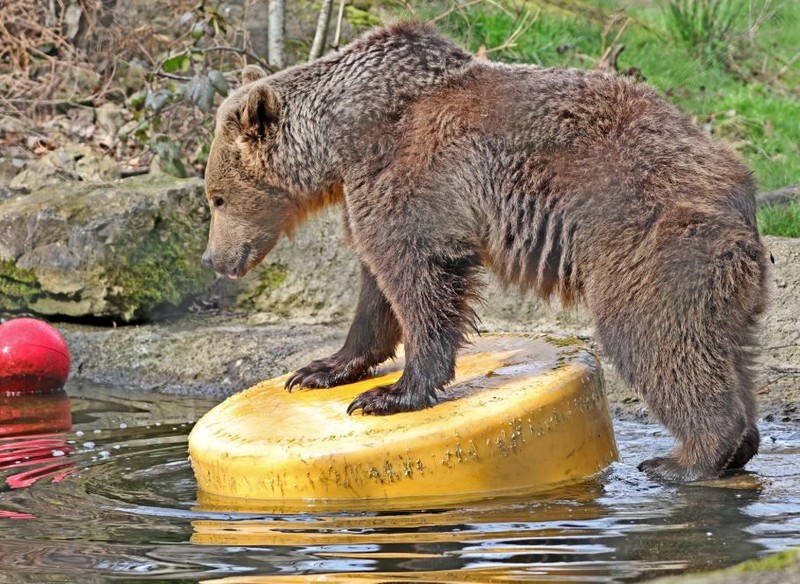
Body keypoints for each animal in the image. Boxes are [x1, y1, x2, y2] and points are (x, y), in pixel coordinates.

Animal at [200, 22, 768, 482]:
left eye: (216, 197)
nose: (214, 260)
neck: (343, 138)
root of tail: (739, 186)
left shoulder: (408, 172)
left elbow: (418, 272)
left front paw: (389, 395)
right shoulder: (370, 189)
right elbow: (376, 285)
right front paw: (321, 369)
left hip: (648, 240)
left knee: (655, 337)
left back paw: (685, 459)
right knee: (725, 347)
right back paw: (739, 443)